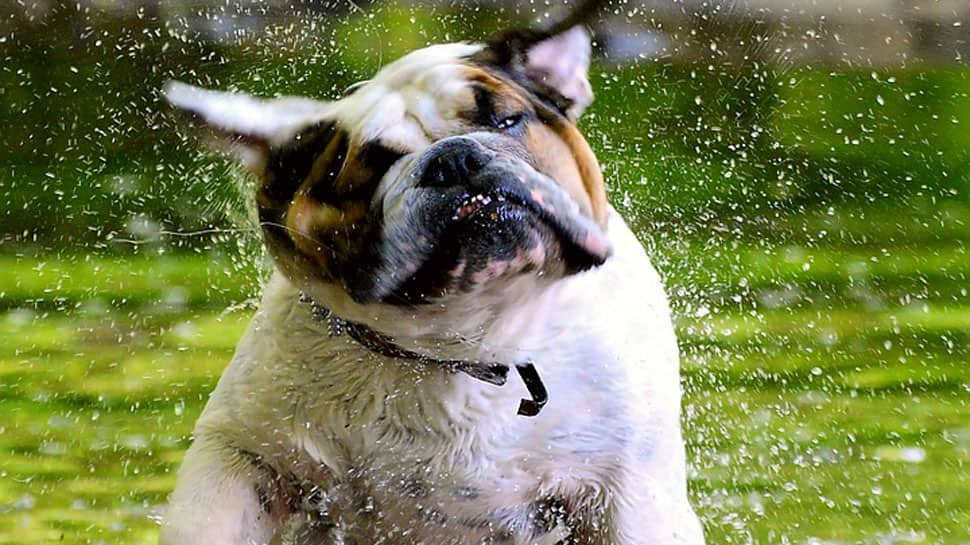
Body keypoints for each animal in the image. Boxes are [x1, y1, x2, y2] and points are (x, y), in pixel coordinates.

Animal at [159, 5, 704, 544]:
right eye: (365, 173)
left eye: (507, 120)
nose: (455, 157)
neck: (465, 343)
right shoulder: (241, 454)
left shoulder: (626, 493)